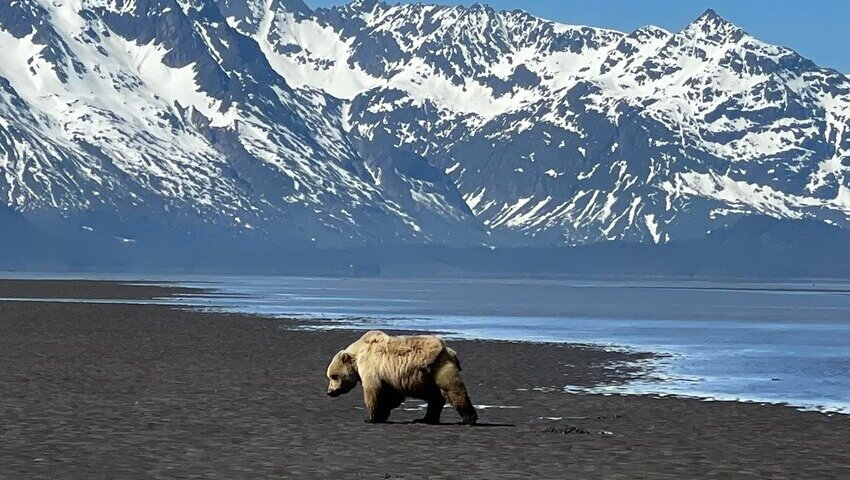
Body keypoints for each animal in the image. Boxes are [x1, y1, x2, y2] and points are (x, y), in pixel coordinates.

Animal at [324, 330, 476, 424]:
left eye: (334, 376)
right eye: (330, 376)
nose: (330, 392)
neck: (357, 354)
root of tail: (450, 352)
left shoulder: (371, 367)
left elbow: (373, 392)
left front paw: (372, 418)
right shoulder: (389, 376)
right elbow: (391, 394)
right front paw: (383, 413)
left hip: (439, 368)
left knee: (453, 390)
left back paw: (469, 418)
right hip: (425, 378)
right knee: (435, 397)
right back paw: (425, 419)